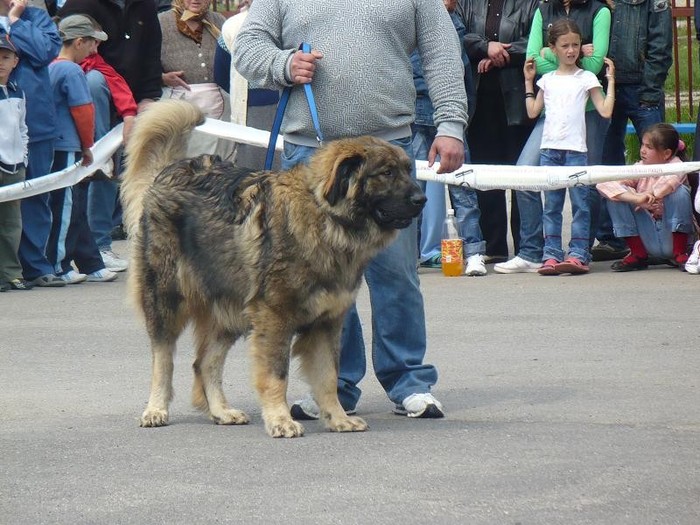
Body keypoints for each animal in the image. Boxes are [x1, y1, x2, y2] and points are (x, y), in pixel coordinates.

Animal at [121, 100, 426, 436]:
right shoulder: (275, 317)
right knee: (163, 359)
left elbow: (328, 377)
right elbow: (277, 374)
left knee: (204, 362)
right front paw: (281, 419)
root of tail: (169, 172)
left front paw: (338, 418)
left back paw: (221, 411)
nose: (422, 198)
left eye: (408, 170)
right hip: (166, 298)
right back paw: (155, 409)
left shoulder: (328, 322)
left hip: (231, 310)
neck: (327, 219)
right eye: (386, 172)